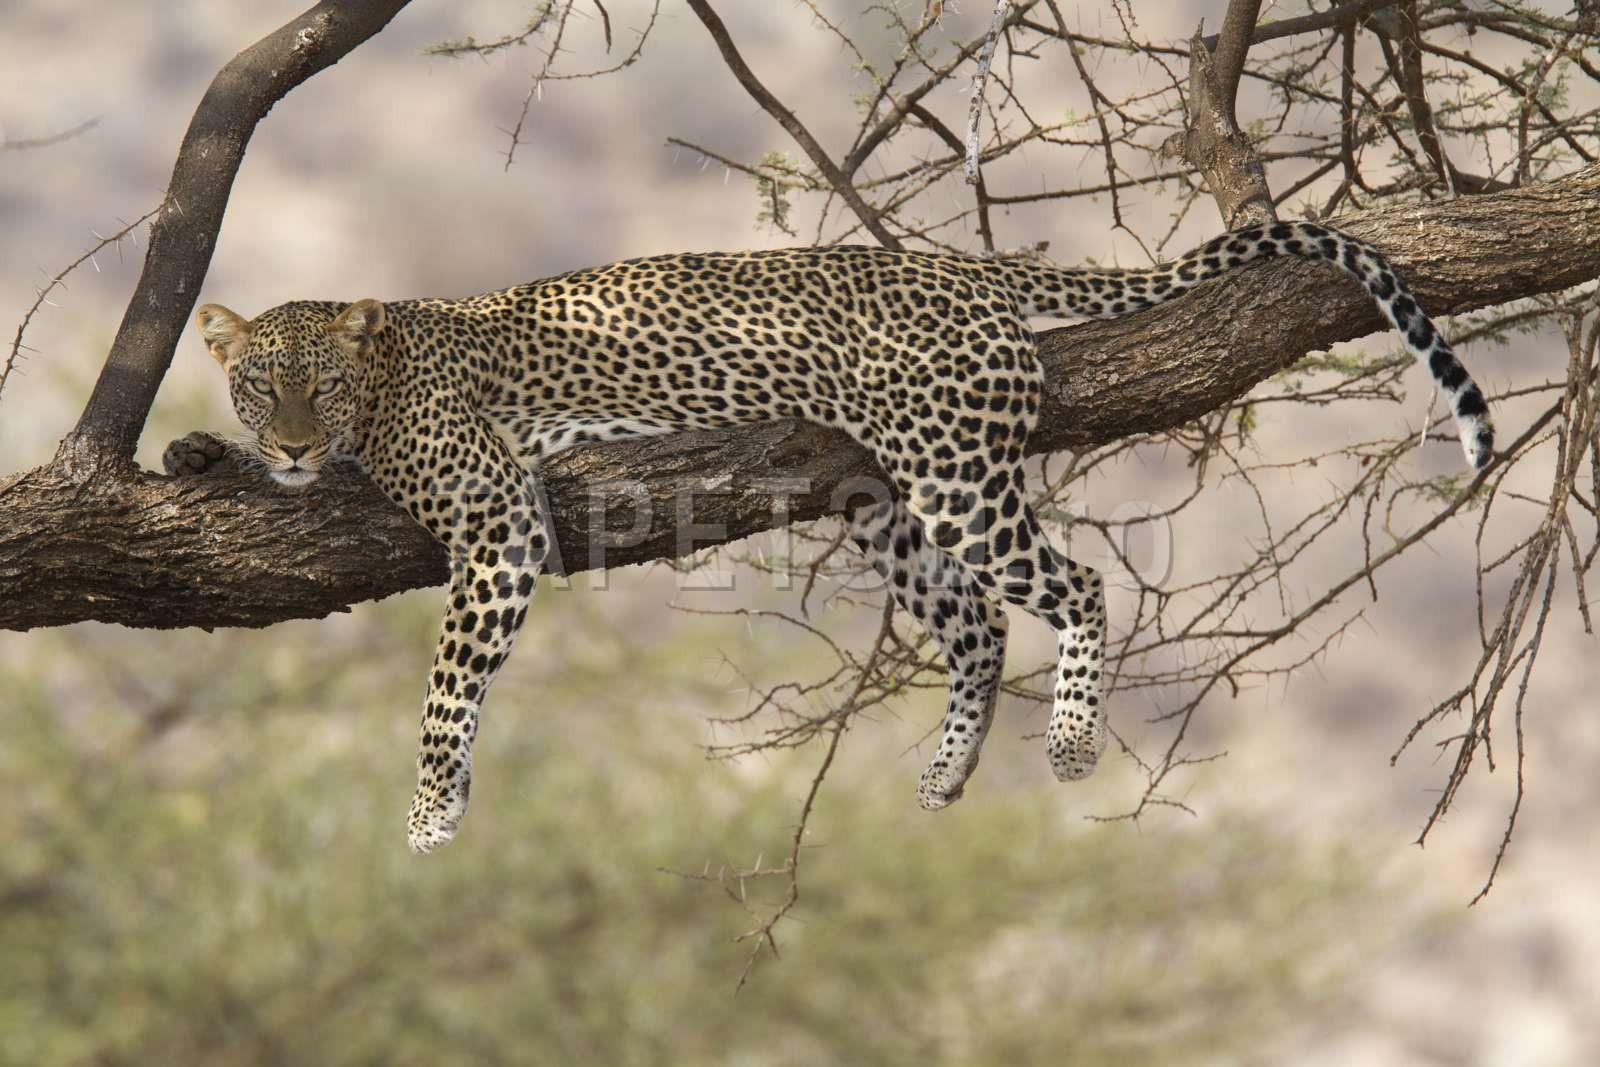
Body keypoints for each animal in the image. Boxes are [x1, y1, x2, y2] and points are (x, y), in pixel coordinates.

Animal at [169, 221, 1495, 854]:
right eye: (261, 387)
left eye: (323, 385)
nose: (291, 445)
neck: (387, 383)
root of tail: (963, 271)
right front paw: (196, 458)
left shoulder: (498, 516)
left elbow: (449, 686)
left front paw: (428, 814)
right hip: (883, 504)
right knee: (976, 620)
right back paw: (948, 768)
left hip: (953, 477)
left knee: (1075, 583)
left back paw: (1068, 742)